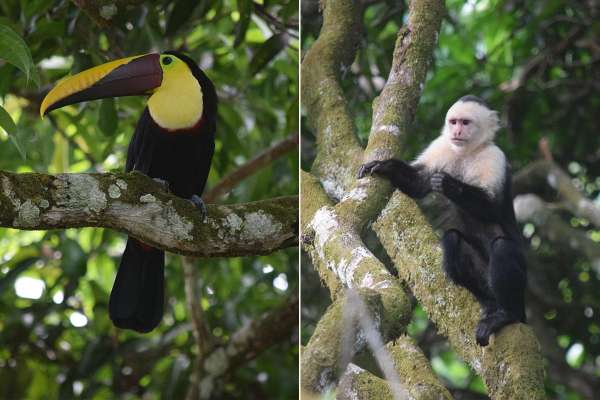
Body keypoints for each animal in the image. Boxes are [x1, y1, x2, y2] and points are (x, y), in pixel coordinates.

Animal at [358, 95, 528, 346]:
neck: (467, 152)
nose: (456, 131)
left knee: (503, 247)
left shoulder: (494, 157)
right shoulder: (442, 146)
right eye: (453, 122)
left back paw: (508, 314)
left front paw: (450, 185)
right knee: (452, 240)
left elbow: (494, 207)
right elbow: (418, 183)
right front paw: (384, 166)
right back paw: (490, 304)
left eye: (465, 123)